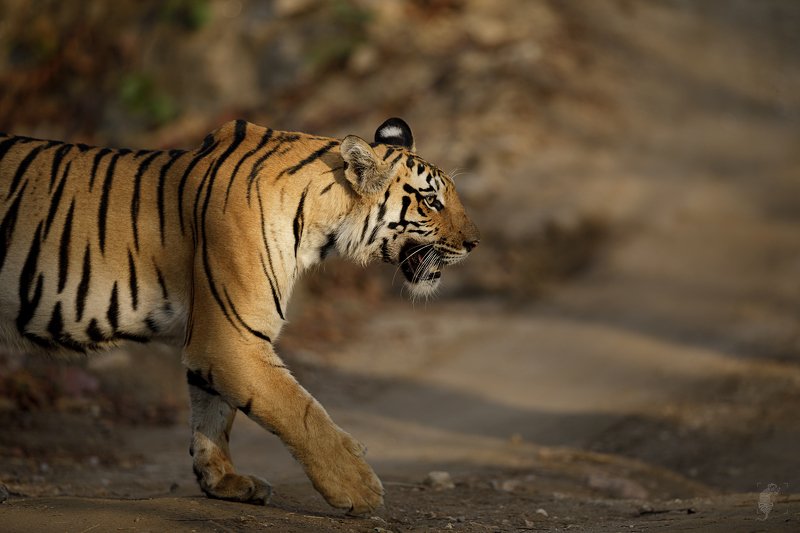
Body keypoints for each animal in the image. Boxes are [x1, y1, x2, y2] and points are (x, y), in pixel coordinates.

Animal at [0, 117, 479, 514]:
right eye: (431, 201)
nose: (475, 243)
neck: (320, 223)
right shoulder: (231, 338)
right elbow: (302, 413)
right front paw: (359, 489)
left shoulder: (216, 340)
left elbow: (212, 413)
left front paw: (223, 482)